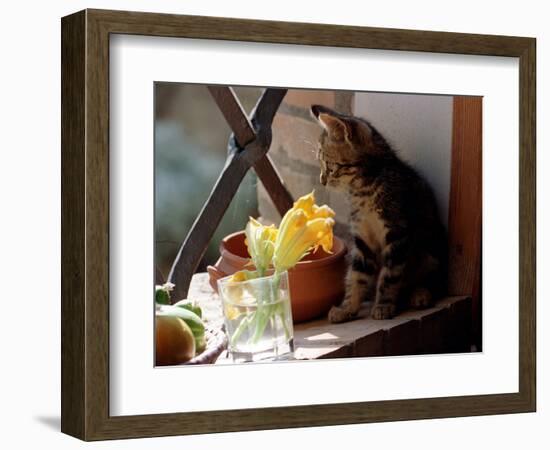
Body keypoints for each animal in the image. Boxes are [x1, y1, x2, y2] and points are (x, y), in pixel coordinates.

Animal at [310, 104, 448, 324]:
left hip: (431, 249)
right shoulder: (362, 239)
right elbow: (356, 276)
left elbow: (389, 275)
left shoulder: (398, 233)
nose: (322, 181)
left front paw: (383, 306)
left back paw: (420, 294)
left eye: (329, 166)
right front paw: (347, 308)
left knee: (435, 281)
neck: (363, 189)